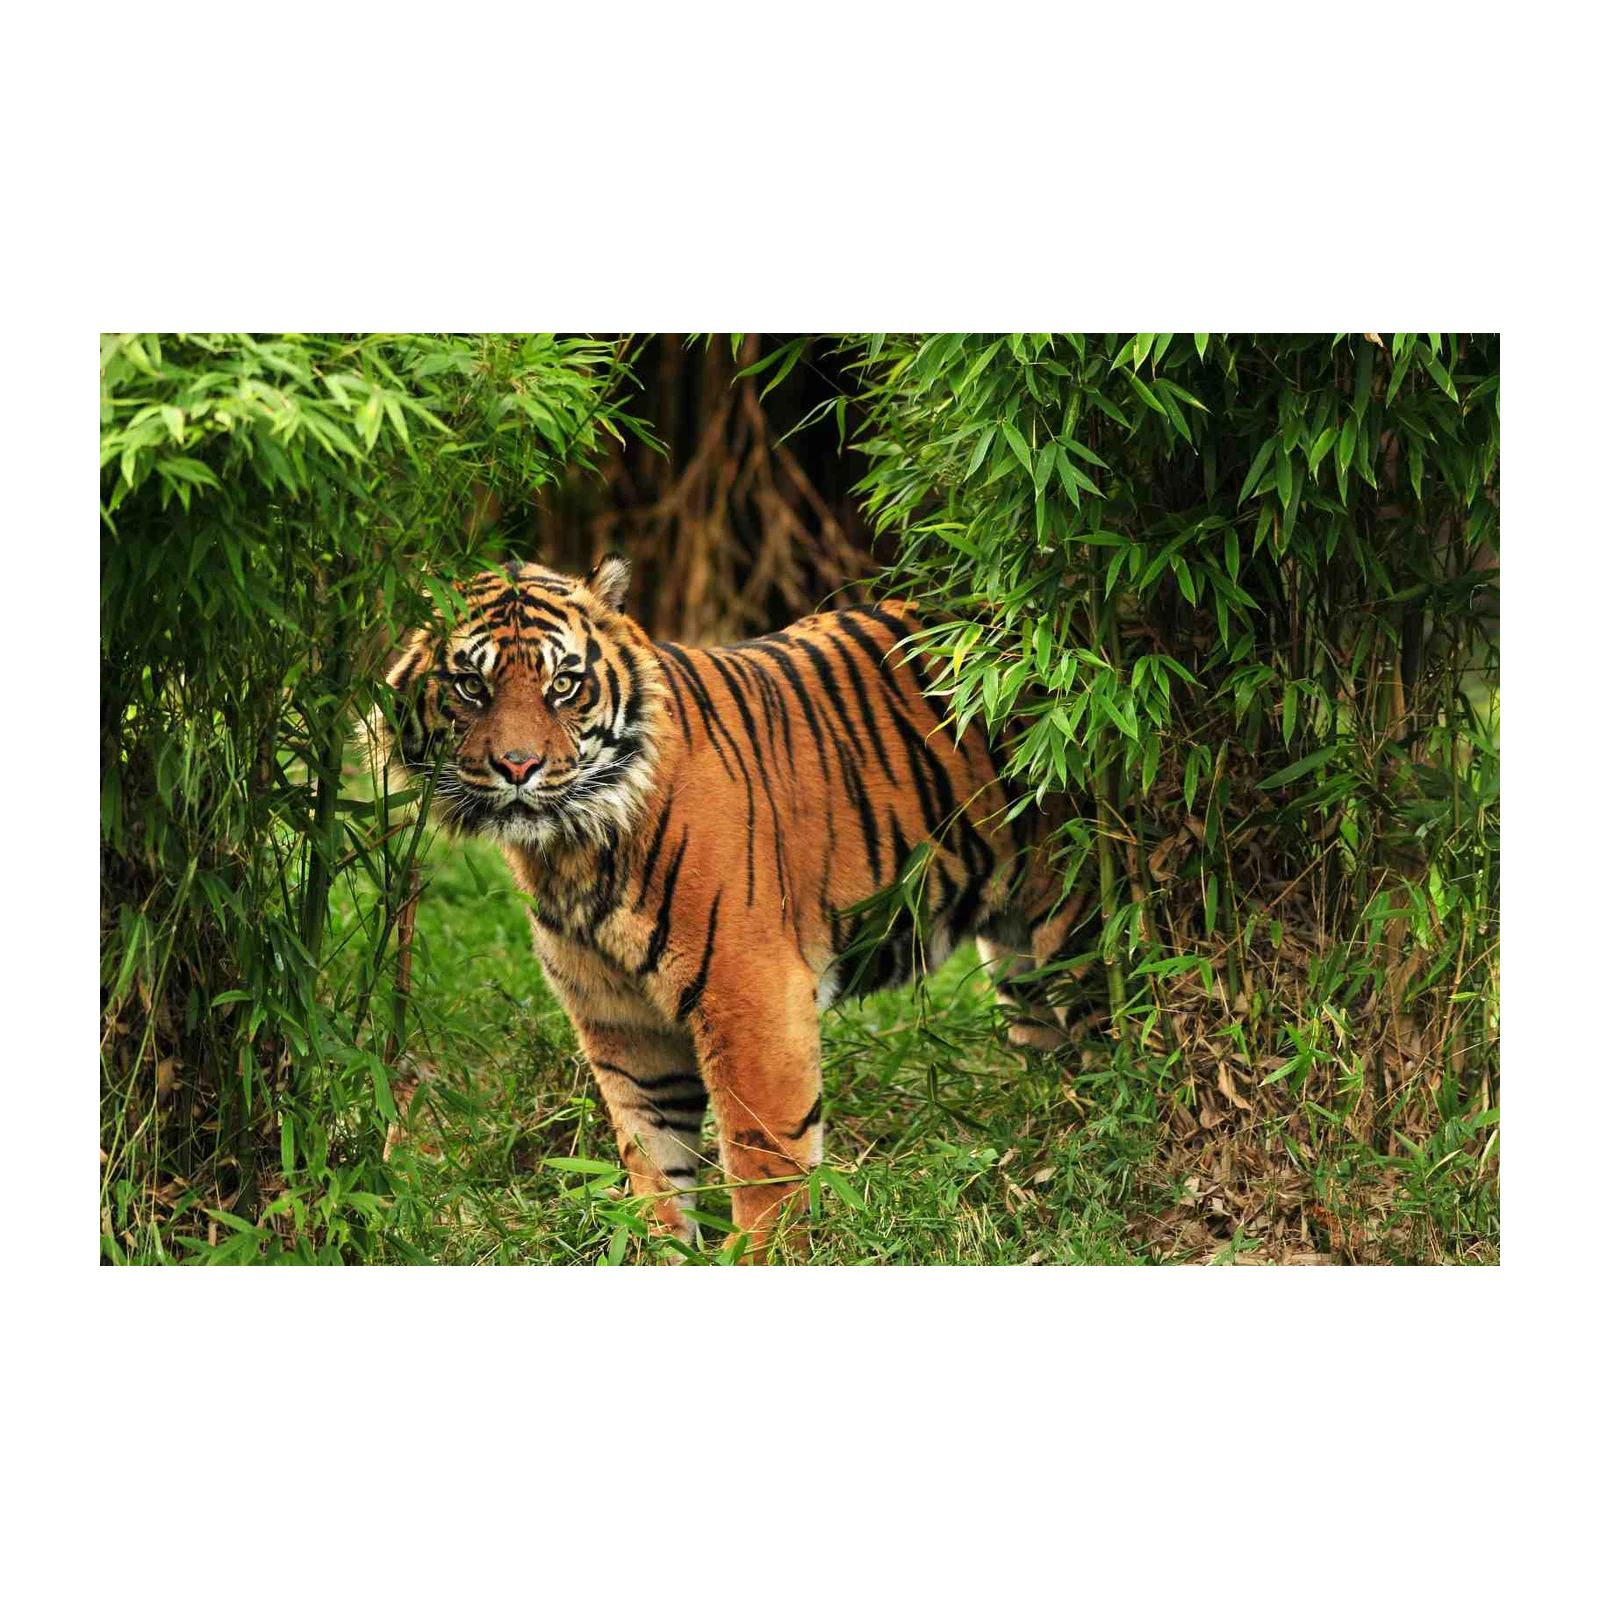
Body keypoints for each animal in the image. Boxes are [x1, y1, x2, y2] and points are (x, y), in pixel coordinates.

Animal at [373, 555, 1093, 1262]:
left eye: (564, 686)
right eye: (470, 686)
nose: (517, 766)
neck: (570, 850)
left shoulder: (752, 995)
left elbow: (765, 1157)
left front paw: (763, 1251)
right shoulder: (621, 1021)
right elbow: (654, 1162)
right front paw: (657, 1249)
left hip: (1080, 920)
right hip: (1019, 962)